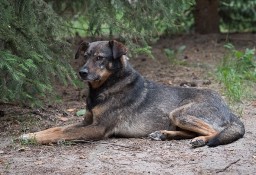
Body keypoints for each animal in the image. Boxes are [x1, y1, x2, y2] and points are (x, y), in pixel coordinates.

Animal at [20, 40, 244, 148]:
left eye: (100, 58)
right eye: (85, 56)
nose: (81, 72)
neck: (105, 87)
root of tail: (229, 110)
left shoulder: (97, 129)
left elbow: (62, 133)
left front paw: (33, 139)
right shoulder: (86, 122)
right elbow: (56, 128)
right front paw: (30, 134)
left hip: (180, 113)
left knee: (215, 132)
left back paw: (200, 141)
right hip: (176, 117)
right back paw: (164, 134)